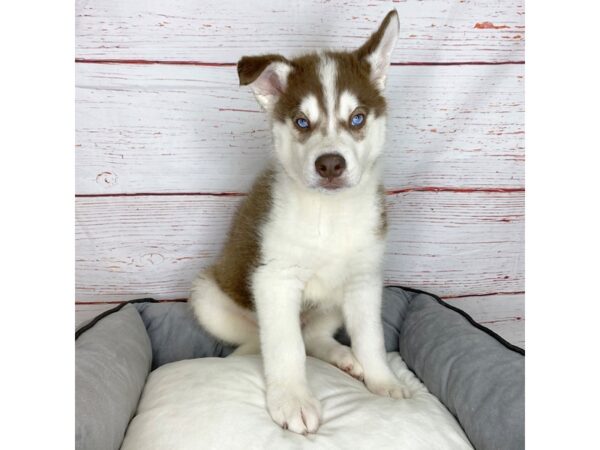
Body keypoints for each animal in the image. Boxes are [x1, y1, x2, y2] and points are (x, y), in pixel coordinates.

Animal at [190, 8, 410, 434]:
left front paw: (383, 380)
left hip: (332, 302)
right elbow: (285, 347)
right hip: (208, 298)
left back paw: (344, 357)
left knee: (314, 336)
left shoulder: (364, 280)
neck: (330, 213)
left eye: (357, 118)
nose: (330, 164)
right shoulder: (274, 280)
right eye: (302, 122)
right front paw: (292, 400)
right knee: (266, 342)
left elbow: (370, 338)